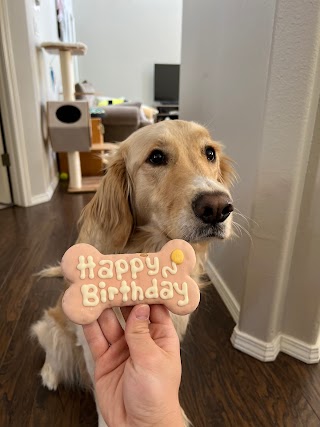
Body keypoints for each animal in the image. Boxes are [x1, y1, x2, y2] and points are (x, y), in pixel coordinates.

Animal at [31, 118, 235, 426]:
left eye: (209, 153)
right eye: (156, 157)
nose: (217, 208)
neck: (150, 248)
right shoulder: (89, 343)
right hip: (54, 327)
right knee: (52, 350)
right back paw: (49, 374)